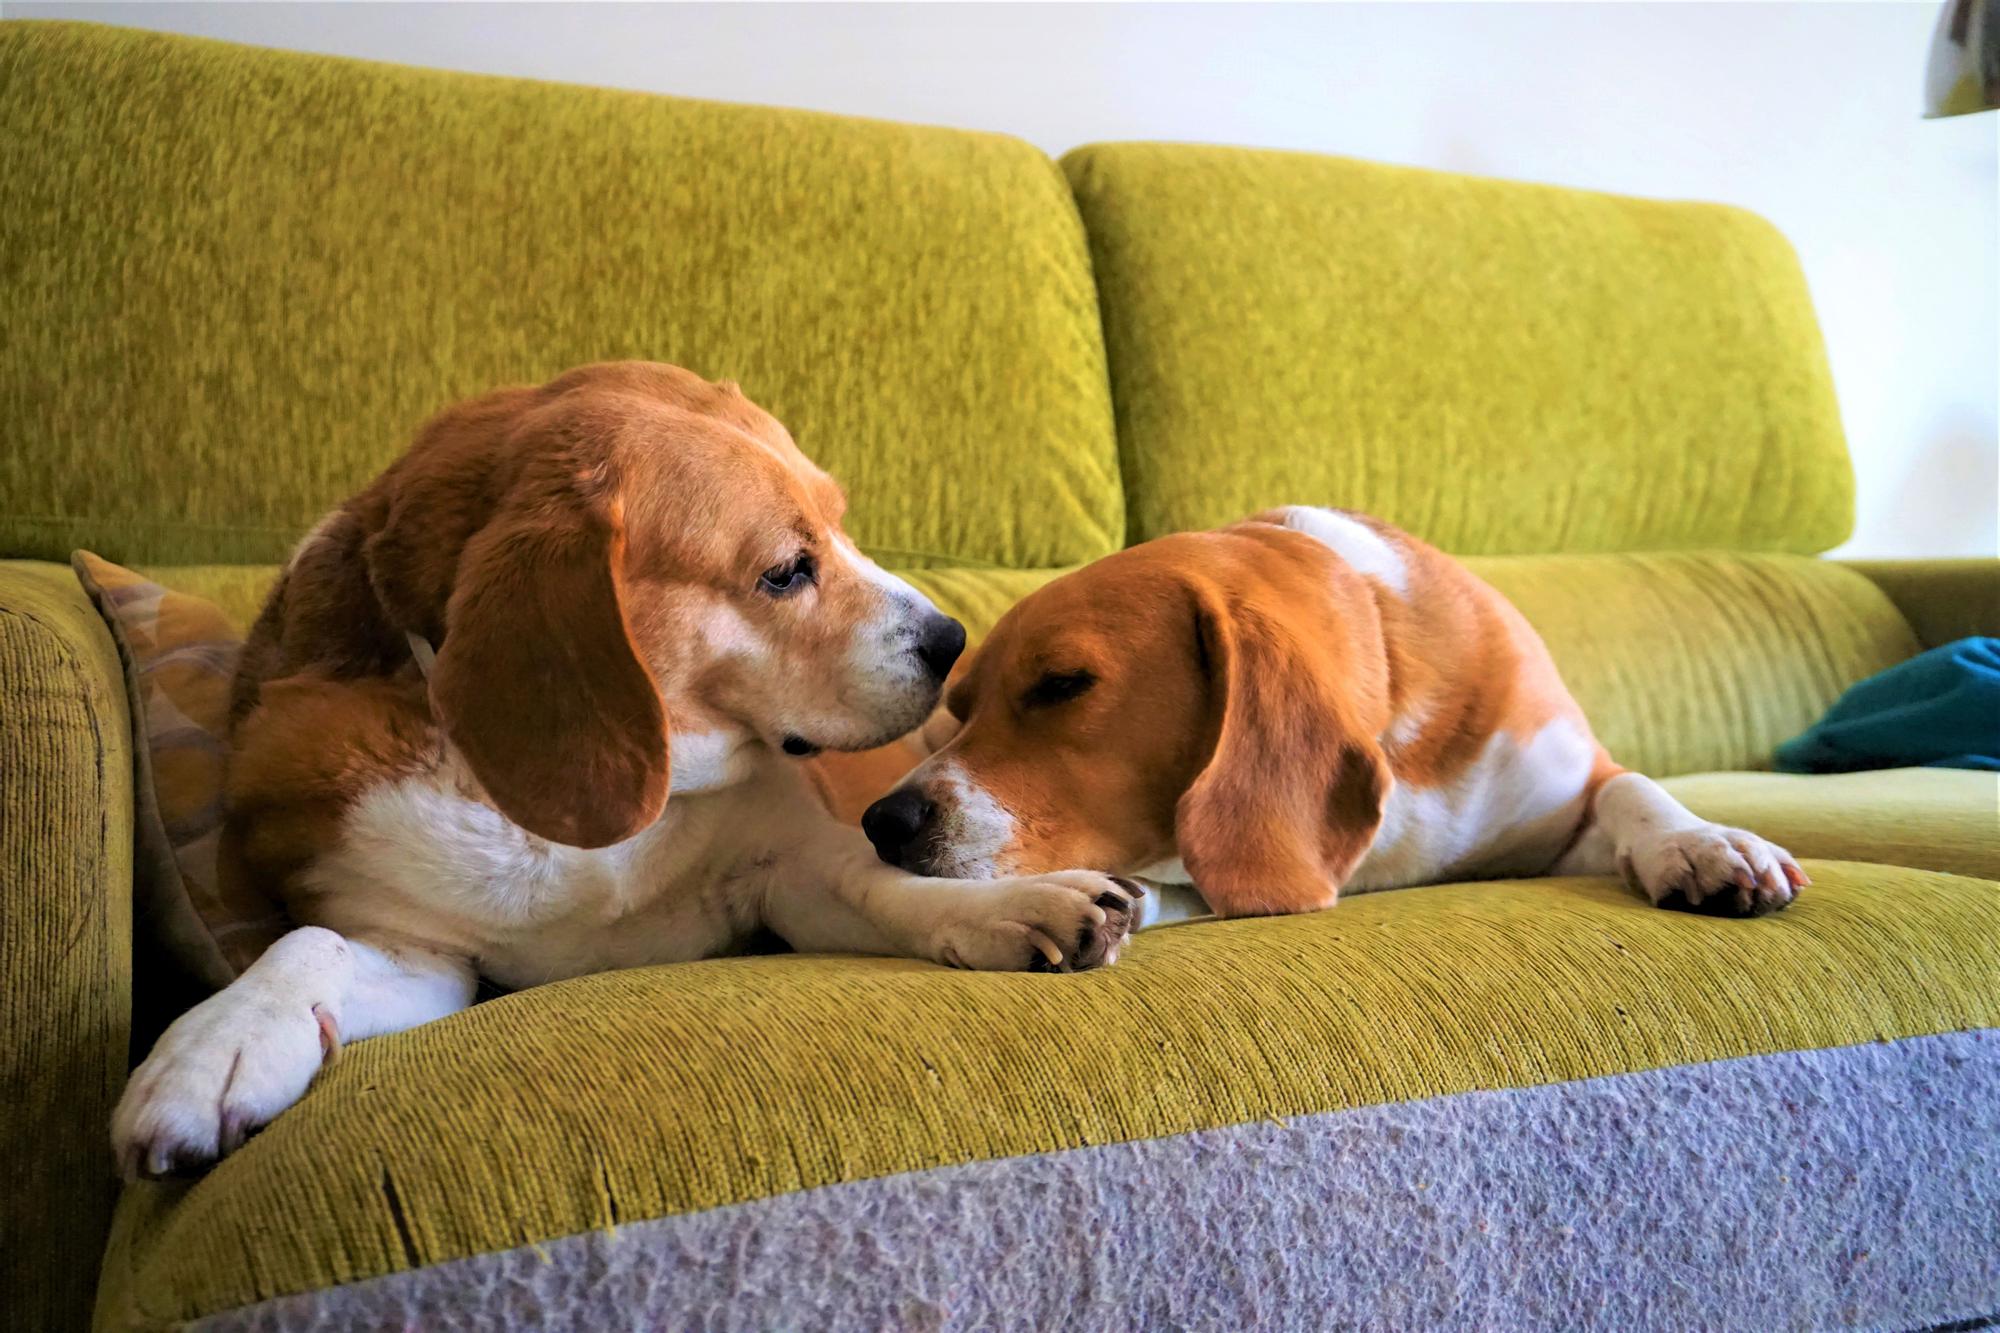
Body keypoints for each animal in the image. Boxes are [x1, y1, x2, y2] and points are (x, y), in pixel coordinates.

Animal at [109, 360, 1144, 1176]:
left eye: (844, 525)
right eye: (784, 570)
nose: (953, 640)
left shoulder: (791, 874)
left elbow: (889, 889)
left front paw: (1020, 907)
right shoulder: (420, 950)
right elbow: (307, 946)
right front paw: (216, 1046)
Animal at [868, 506, 1808, 924]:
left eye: (1064, 683)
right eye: (957, 712)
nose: (885, 821)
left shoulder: (1561, 796)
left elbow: (1632, 785)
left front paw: (1701, 842)